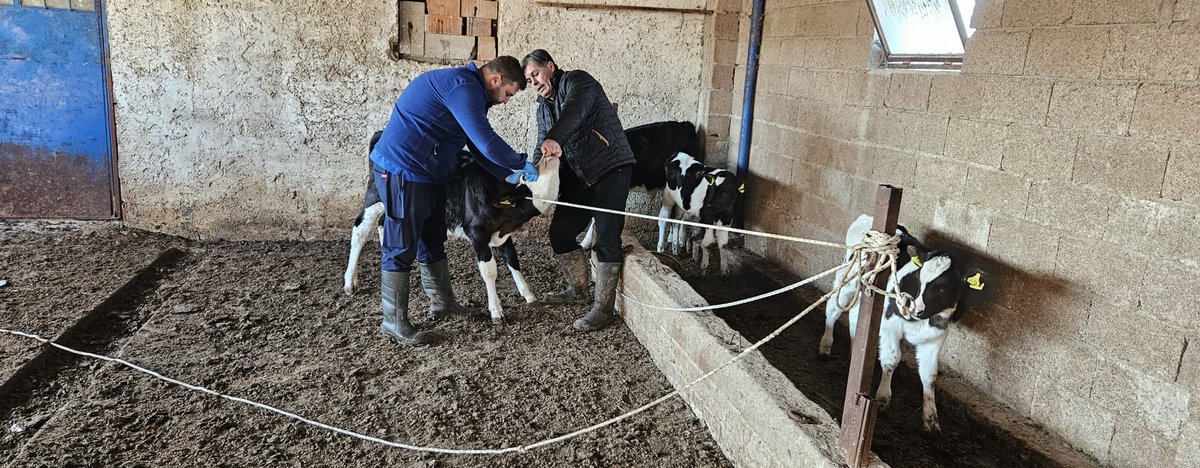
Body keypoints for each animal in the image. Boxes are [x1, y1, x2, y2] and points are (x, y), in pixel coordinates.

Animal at [525, 48, 638, 333]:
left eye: (533, 75)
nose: (551, 154)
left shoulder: (581, 83)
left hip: (613, 191)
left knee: (608, 250)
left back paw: (592, 318)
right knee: (562, 238)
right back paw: (571, 295)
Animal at [820, 212, 979, 432]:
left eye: (942, 287)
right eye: (920, 279)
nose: (915, 309)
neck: (924, 320)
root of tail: (866, 217)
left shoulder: (936, 338)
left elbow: (930, 376)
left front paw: (931, 418)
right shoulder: (890, 325)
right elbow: (892, 360)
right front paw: (882, 398)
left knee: (855, 316)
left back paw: (855, 352)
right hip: (849, 280)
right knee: (833, 310)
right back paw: (825, 346)